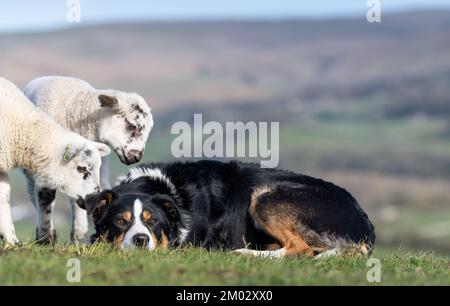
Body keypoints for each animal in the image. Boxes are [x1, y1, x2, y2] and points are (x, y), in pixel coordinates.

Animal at [81, 160, 376, 258]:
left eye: (152, 221)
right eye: (120, 221)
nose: (141, 240)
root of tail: (366, 226)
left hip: (265, 196)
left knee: (300, 249)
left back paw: (246, 253)